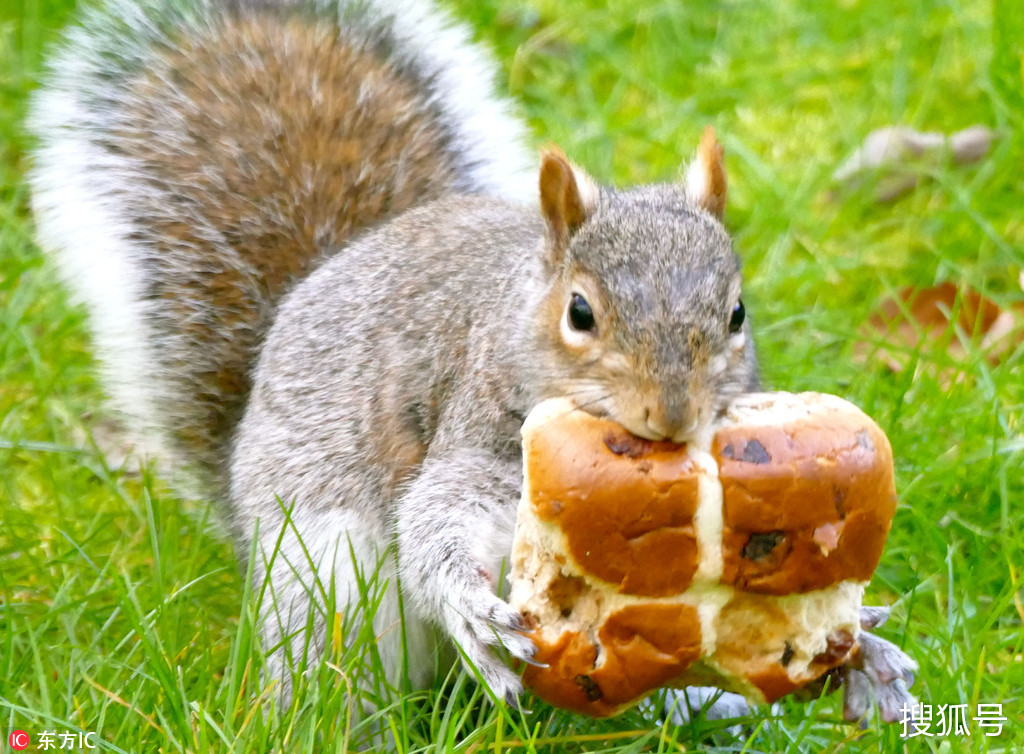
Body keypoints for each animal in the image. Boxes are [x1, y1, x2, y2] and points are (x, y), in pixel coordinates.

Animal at [32, 0, 917, 725]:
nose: (672, 416)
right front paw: (466, 603)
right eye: (580, 313)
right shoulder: (476, 431)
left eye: (736, 315)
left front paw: (862, 646)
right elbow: (437, 517)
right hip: (321, 581)